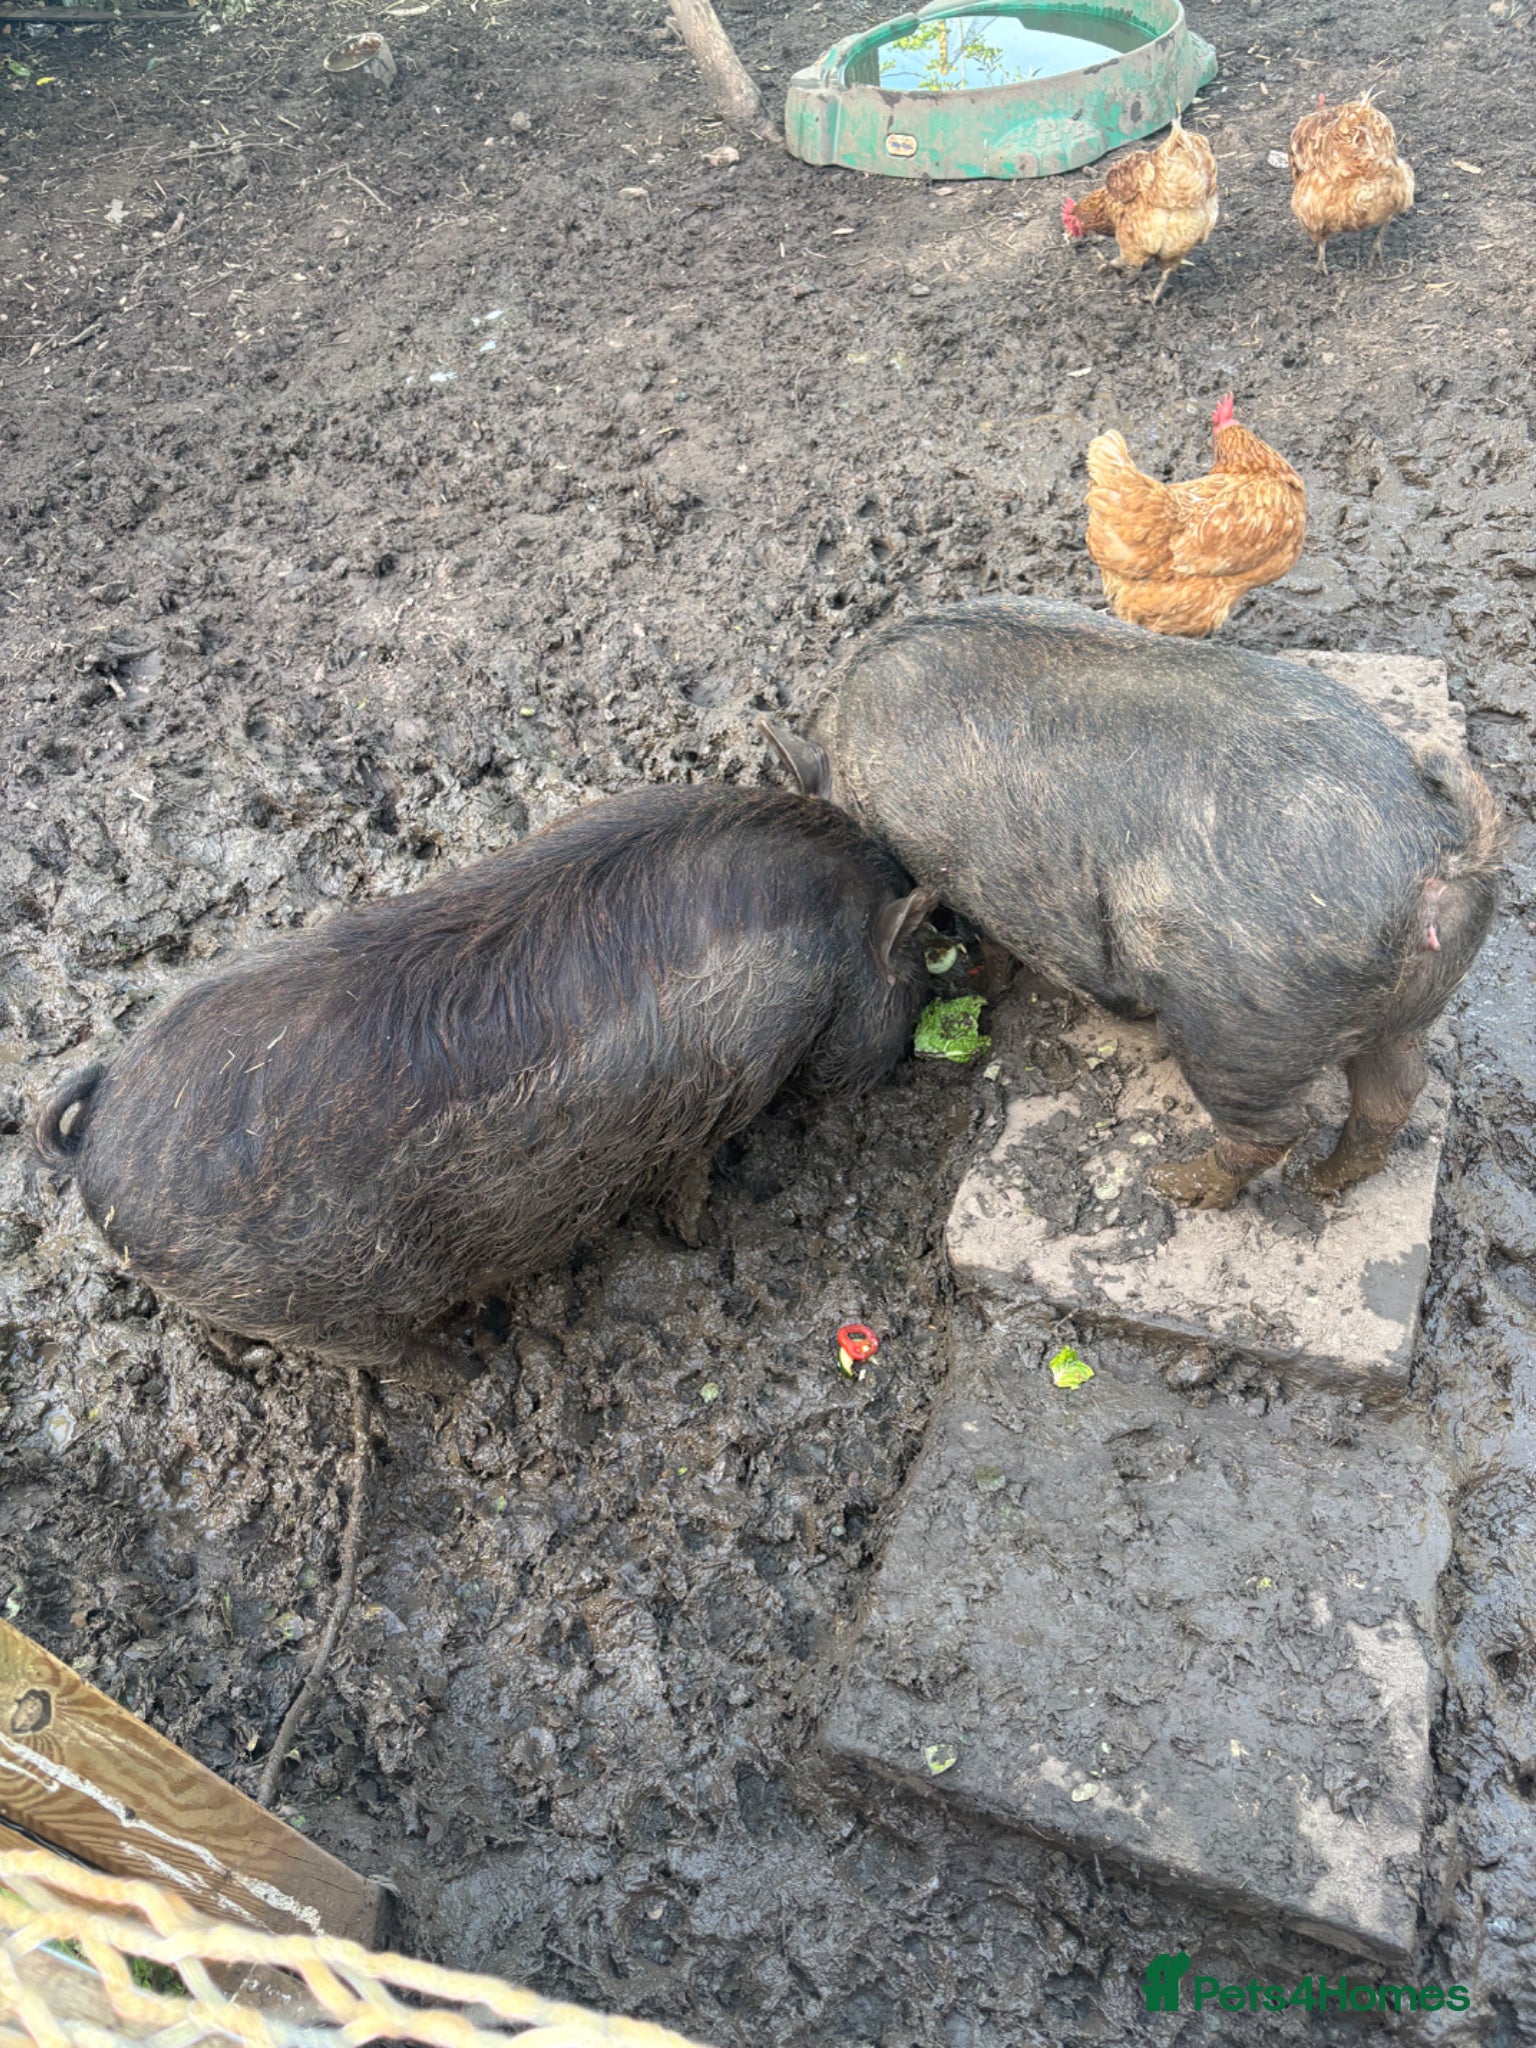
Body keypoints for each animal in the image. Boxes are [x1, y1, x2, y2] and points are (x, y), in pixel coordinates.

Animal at [34, 784, 935, 1378]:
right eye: (918, 962)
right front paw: (706, 1238)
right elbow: (690, 1185)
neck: (820, 941)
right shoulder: (726, 1091)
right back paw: (481, 1357)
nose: (907, 1058)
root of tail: (96, 1143)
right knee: (392, 1362)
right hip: (323, 1308)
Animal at [763, 595, 1504, 1210]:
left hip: (1241, 1025)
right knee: (1392, 1096)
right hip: (1408, 1009)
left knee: (1277, 1127)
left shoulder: (948, 867)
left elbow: (992, 939)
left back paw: (1174, 1186)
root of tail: (1438, 860)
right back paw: (1317, 1184)